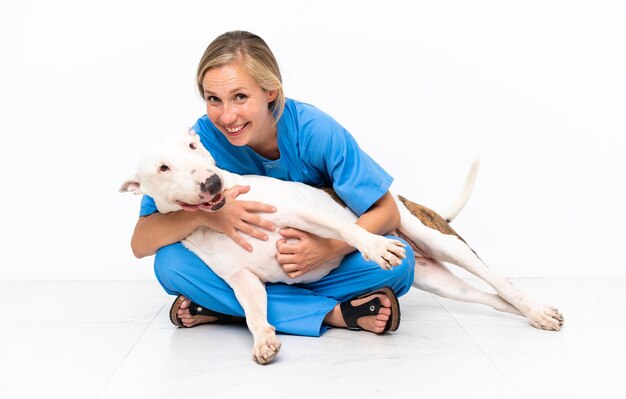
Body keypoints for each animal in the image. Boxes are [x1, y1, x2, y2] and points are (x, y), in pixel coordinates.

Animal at [119, 130, 564, 366]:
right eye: (163, 168)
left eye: (193, 147)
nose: (211, 182)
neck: (225, 211)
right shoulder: (241, 279)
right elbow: (254, 311)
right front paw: (263, 340)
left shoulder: (302, 214)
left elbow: (344, 230)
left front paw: (376, 248)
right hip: (440, 280)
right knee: (488, 297)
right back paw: (534, 314)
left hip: (434, 237)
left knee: (499, 280)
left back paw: (536, 309)